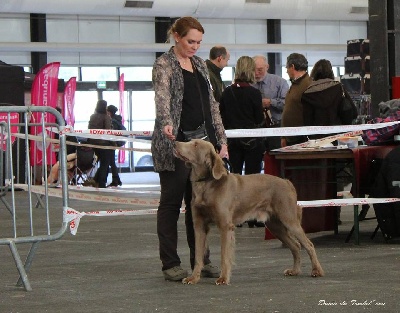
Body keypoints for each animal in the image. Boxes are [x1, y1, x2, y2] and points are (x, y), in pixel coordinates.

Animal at [173, 140, 324, 286]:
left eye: (195, 144)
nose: (174, 142)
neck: (206, 185)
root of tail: (287, 182)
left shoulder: (225, 225)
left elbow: (224, 255)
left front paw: (223, 279)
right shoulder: (199, 225)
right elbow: (198, 255)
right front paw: (193, 278)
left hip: (289, 219)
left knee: (308, 245)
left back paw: (316, 271)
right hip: (275, 225)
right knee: (296, 246)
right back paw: (295, 270)